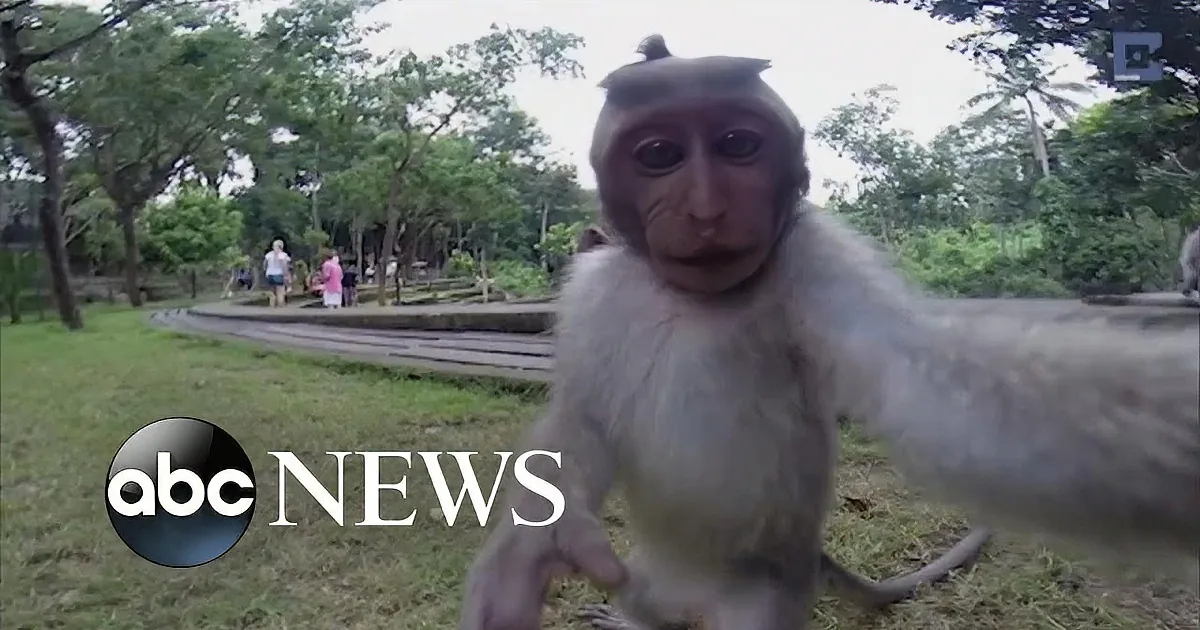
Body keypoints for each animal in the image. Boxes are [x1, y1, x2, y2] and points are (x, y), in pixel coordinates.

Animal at [458, 35, 1200, 630]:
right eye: (661, 154)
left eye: (738, 145)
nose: (705, 209)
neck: (697, 299)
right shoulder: (595, 291)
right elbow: (582, 415)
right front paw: (530, 552)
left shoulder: (818, 263)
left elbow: (929, 383)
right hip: (652, 573)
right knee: (646, 601)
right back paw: (634, 620)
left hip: (762, 596)